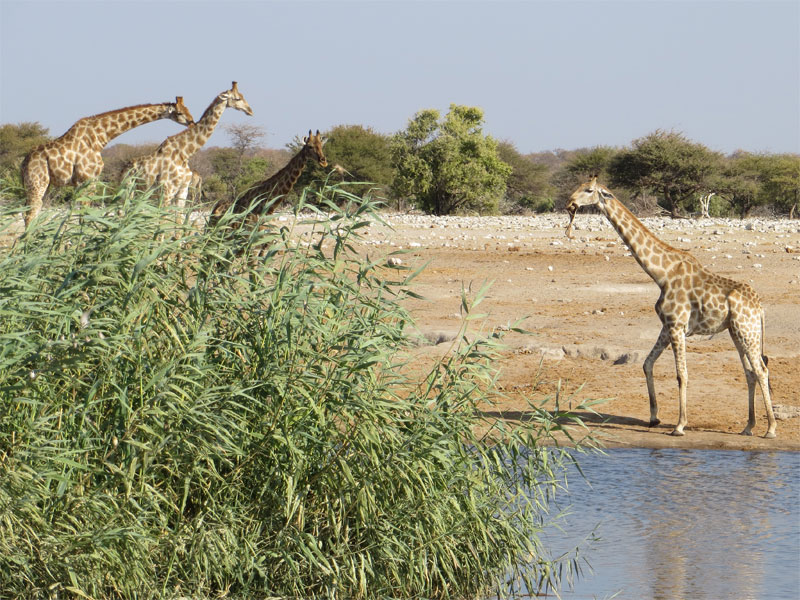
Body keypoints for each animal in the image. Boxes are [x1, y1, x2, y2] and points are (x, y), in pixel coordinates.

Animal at [21, 97, 194, 229]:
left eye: (188, 108)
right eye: (179, 112)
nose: (192, 121)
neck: (100, 138)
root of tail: (23, 164)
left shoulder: (83, 182)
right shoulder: (88, 179)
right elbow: (84, 214)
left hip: (43, 184)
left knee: (31, 211)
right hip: (37, 183)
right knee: (30, 213)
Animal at [565, 177, 776, 438]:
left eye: (589, 190)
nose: (569, 203)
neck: (661, 273)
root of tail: (760, 307)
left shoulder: (677, 326)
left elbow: (681, 375)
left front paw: (679, 425)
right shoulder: (667, 327)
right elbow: (647, 363)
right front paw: (654, 417)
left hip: (747, 332)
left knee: (761, 370)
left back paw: (770, 429)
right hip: (738, 333)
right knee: (750, 372)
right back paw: (748, 427)